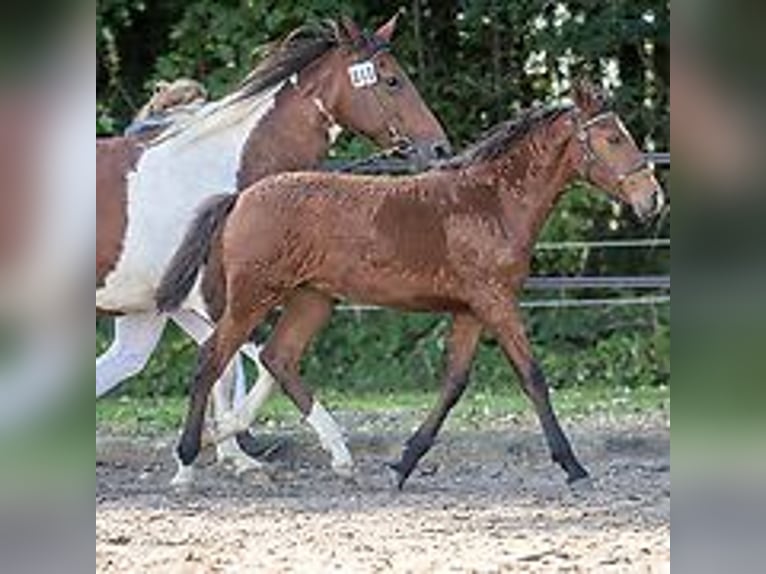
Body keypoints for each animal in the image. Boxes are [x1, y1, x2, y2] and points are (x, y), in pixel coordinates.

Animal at [95, 13, 450, 482]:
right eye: (392, 80)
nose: (440, 147)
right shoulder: (217, 302)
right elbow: (247, 361)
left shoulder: (178, 307)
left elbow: (242, 366)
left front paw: (232, 453)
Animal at [158, 81, 664, 492]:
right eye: (613, 138)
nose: (653, 199)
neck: (492, 201)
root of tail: (240, 197)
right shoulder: (496, 303)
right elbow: (532, 377)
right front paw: (573, 466)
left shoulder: (469, 310)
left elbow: (454, 384)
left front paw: (403, 464)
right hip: (253, 297)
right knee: (212, 358)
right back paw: (187, 461)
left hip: (312, 300)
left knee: (277, 357)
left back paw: (323, 453)